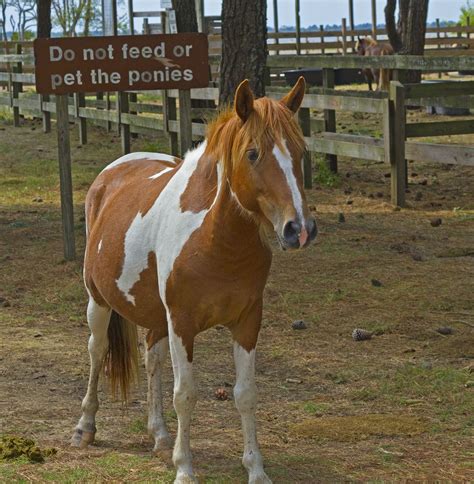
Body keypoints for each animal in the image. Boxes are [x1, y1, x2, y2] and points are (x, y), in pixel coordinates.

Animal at [72, 77, 316, 482]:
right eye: (253, 153)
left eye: (300, 151)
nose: (299, 228)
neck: (215, 239)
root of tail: (110, 174)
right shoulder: (182, 324)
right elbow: (185, 394)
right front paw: (184, 467)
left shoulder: (247, 322)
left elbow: (245, 394)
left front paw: (256, 468)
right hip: (99, 301)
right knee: (97, 350)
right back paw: (84, 427)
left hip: (156, 317)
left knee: (152, 359)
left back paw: (159, 435)